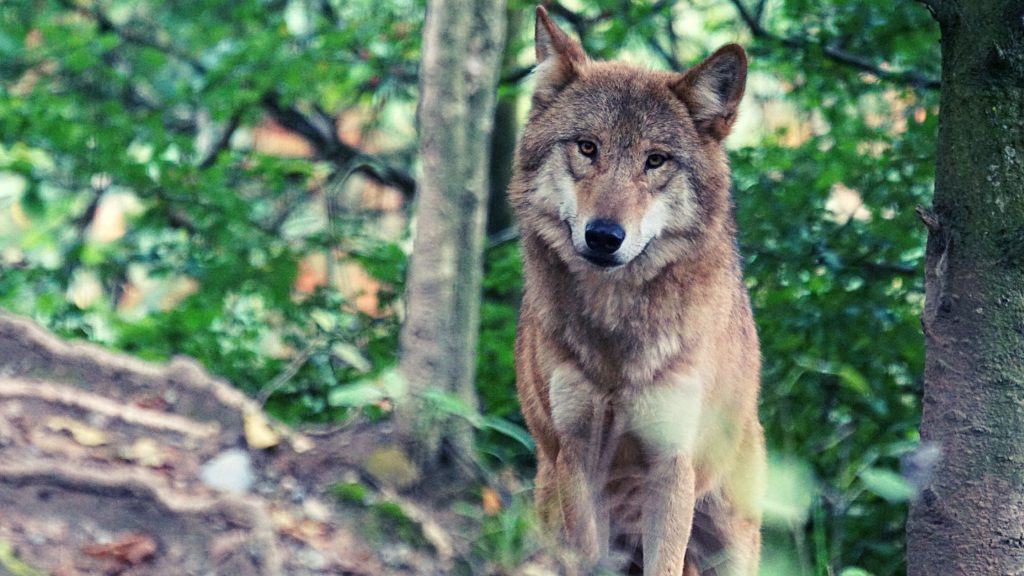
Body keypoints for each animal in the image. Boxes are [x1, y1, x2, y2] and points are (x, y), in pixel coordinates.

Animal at [507, 5, 765, 573]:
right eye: (587, 148)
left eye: (656, 160)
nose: (604, 236)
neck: (615, 336)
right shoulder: (577, 457)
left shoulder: (671, 466)